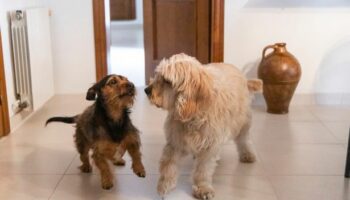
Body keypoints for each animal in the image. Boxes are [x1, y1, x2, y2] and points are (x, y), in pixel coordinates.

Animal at [144, 53, 262, 200]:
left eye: (167, 80)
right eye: (158, 75)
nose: (146, 90)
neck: (192, 115)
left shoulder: (209, 144)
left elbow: (203, 169)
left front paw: (202, 188)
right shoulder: (175, 141)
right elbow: (168, 164)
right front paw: (164, 185)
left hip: (242, 122)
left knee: (244, 139)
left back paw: (247, 154)